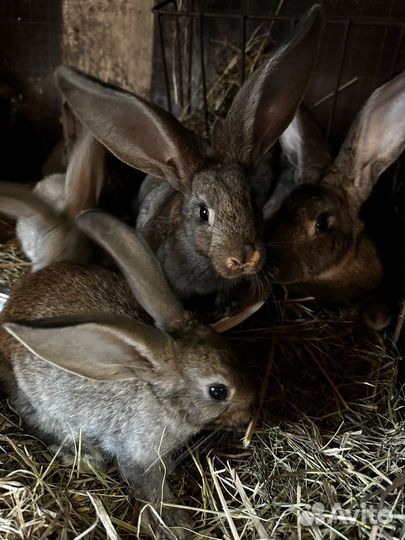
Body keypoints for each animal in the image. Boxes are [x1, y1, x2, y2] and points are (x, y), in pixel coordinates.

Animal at [0, 207, 256, 540]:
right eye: (218, 391)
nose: (252, 407)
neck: (159, 397)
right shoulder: (139, 455)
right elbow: (152, 490)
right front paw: (177, 525)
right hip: (42, 405)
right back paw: (84, 456)